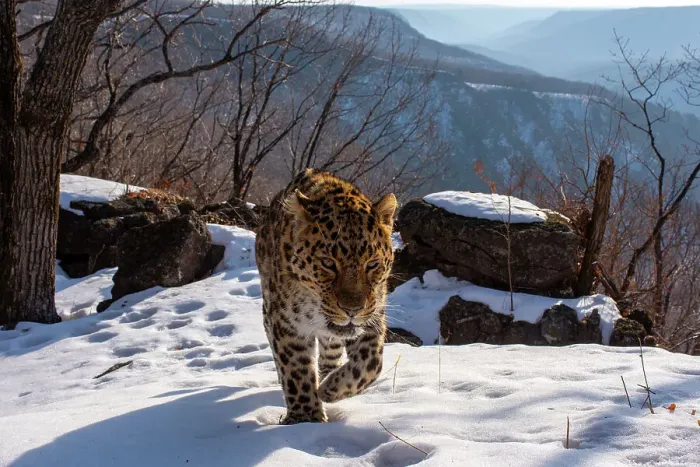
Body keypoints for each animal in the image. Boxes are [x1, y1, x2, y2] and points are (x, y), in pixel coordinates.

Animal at [255, 168, 397, 424]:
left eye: (372, 264)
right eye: (328, 263)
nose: (352, 309)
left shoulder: (374, 316)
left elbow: (371, 363)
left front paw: (331, 389)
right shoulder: (287, 324)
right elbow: (296, 369)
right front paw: (305, 417)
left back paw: (326, 378)